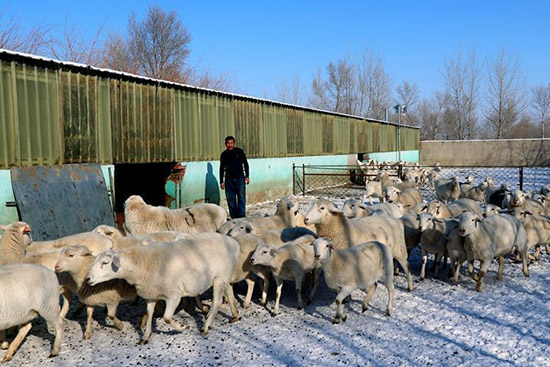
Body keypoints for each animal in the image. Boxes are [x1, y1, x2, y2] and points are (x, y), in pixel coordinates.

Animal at [86, 234, 239, 344]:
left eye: (105, 262)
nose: (87, 279)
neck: (141, 264)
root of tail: (232, 242)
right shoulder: (151, 295)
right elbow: (149, 314)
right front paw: (145, 336)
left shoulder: (174, 295)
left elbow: (166, 318)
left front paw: (182, 327)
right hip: (224, 277)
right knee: (229, 291)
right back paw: (234, 315)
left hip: (219, 277)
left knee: (217, 302)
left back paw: (206, 326)